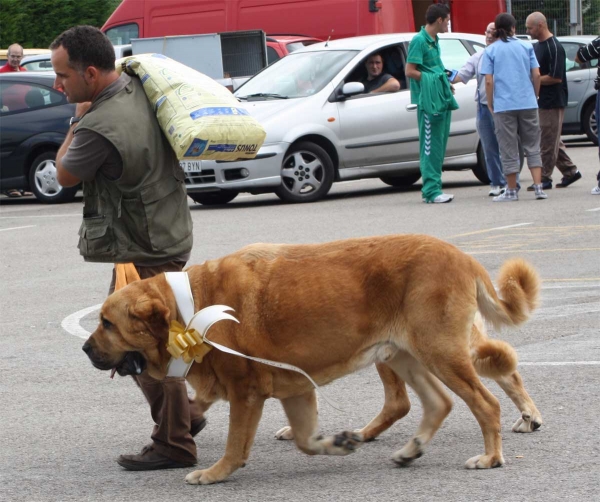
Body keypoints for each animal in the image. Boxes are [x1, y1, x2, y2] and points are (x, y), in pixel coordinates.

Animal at [83, 237, 540, 484]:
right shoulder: (295, 390)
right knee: (436, 403)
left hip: (441, 354)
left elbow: (234, 444)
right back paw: (411, 449)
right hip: (405, 356)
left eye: (107, 323)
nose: (85, 350)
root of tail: (464, 257)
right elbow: (306, 441)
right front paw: (336, 443)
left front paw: (215, 473)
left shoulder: (246, 394)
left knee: (485, 403)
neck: (191, 307)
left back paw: (492, 456)